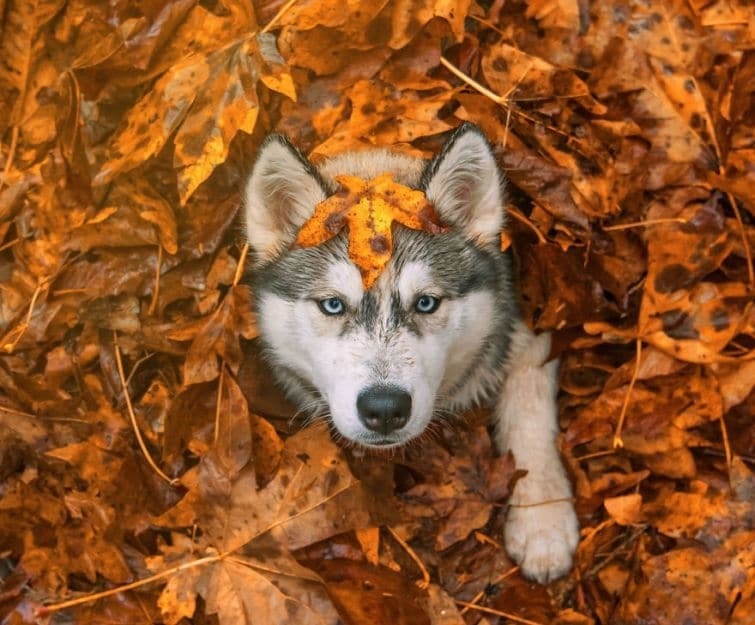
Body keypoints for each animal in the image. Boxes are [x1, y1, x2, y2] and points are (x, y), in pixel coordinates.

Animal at [242, 124, 580, 584]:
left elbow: (529, 409)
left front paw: (543, 520)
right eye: (332, 305)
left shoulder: (528, 331)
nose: (385, 409)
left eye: (426, 303)